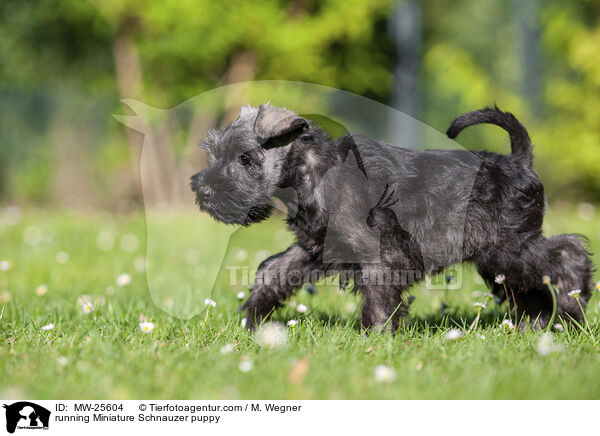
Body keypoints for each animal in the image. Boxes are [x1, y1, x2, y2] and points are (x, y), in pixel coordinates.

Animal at [190, 104, 592, 330]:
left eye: (245, 158)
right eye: (216, 152)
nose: (202, 190)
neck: (317, 173)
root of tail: (519, 161)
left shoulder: (379, 255)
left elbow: (379, 298)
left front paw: (379, 338)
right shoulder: (312, 249)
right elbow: (272, 272)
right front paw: (251, 317)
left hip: (509, 247)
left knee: (567, 254)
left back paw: (571, 311)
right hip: (498, 260)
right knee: (532, 287)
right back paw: (536, 327)